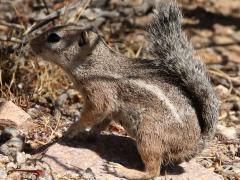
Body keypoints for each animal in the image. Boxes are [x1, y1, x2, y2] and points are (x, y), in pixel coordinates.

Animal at [29, 0, 218, 179]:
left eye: (54, 37)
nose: (30, 43)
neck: (93, 63)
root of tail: (195, 144)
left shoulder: (100, 94)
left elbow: (92, 114)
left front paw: (71, 130)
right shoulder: (111, 109)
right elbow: (100, 123)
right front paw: (87, 136)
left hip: (149, 135)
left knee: (153, 171)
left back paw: (122, 171)